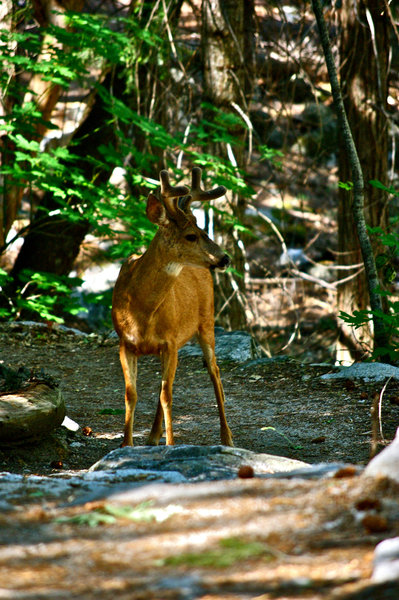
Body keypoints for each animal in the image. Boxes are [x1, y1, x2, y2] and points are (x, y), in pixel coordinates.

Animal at [111, 166, 234, 448]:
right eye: (191, 235)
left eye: (205, 230)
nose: (225, 258)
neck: (141, 312)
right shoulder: (125, 342)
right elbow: (131, 394)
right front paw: (125, 445)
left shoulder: (170, 342)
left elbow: (167, 395)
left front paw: (171, 444)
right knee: (164, 386)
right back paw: (152, 436)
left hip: (207, 322)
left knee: (215, 373)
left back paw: (227, 438)